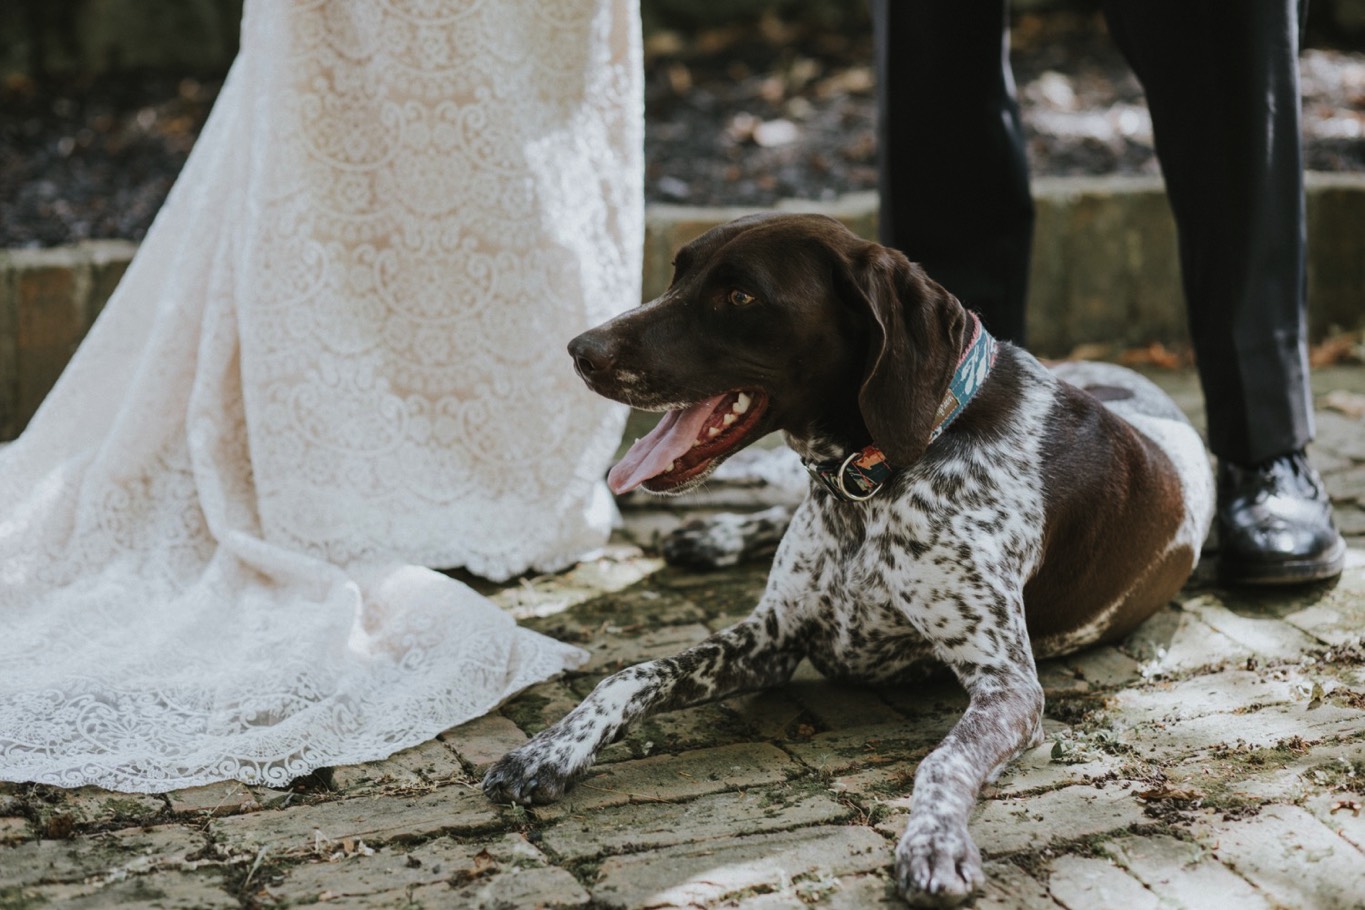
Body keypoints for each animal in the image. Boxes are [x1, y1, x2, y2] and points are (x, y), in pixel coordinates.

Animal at [485, 215, 1212, 910]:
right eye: (676, 274)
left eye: (739, 296)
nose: (579, 350)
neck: (874, 477)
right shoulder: (773, 635)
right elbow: (632, 675)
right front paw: (548, 750)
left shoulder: (1008, 689)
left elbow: (942, 762)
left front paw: (934, 843)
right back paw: (710, 532)